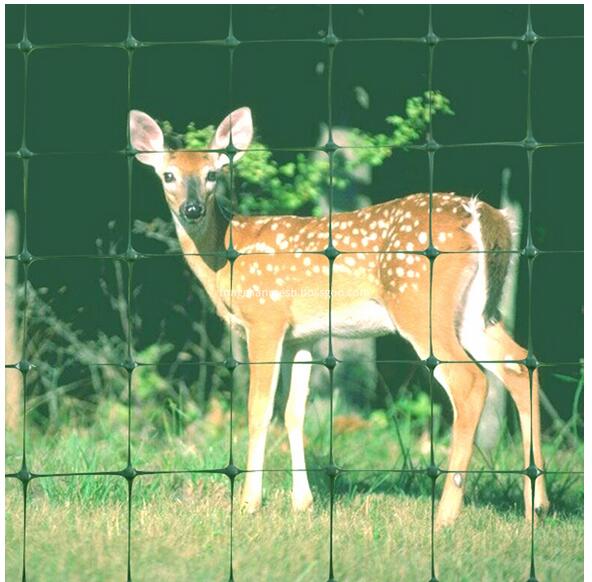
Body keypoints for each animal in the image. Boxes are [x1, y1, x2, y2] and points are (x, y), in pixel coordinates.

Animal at [131, 106, 552, 528]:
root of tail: (483, 214)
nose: (192, 210)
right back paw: (536, 506)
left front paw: (250, 502)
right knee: (519, 364)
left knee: (470, 381)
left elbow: (259, 409)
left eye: (212, 174)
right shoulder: (302, 336)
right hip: (474, 311)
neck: (224, 257)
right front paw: (303, 503)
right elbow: (294, 412)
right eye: (169, 175)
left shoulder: (265, 318)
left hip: (419, 303)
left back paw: (446, 514)